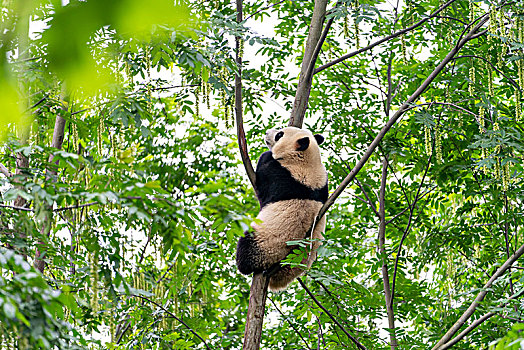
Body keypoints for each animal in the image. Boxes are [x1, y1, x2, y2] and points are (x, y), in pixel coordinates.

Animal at [236, 126, 328, 290]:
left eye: (279, 134)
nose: (267, 133)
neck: (308, 162)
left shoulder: (282, 175)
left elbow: (263, 181)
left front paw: (266, 154)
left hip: (265, 245)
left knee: (246, 249)